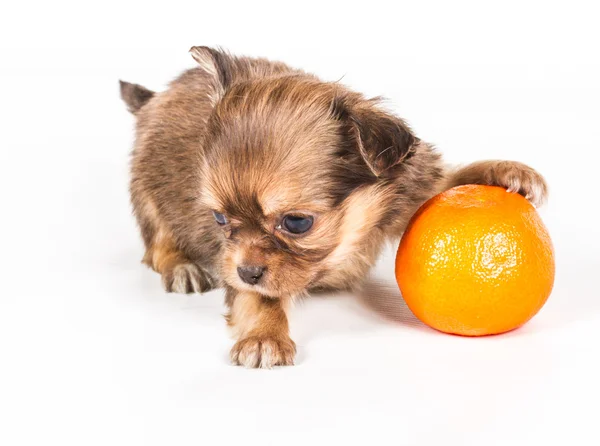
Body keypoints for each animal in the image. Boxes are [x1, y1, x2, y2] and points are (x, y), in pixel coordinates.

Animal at [119, 48, 548, 370]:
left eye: (296, 222)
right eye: (220, 218)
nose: (246, 271)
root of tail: (154, 98)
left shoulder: (410, 187)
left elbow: (451, 179)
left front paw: (505, 171)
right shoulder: (234, 263)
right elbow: (257, 297)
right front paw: (264, 335)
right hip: (146, 191)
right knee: (156, 244)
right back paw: (182, 266)